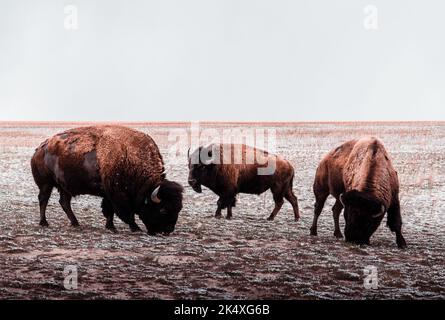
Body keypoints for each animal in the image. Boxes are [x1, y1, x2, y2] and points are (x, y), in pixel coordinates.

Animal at [31, 125, 183, 235]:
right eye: (163, 210)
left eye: (179, 208)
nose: (168, 230)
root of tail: (40, 148)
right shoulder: (117, 195)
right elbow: (123, 213)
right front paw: (135, 227)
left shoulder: (108, 194)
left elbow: (109, 211)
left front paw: (110, 226)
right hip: (46, 184)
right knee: (44, 200)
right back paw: (44, 223)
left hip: (64, 186)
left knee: (64, 202)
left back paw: (75, 223)